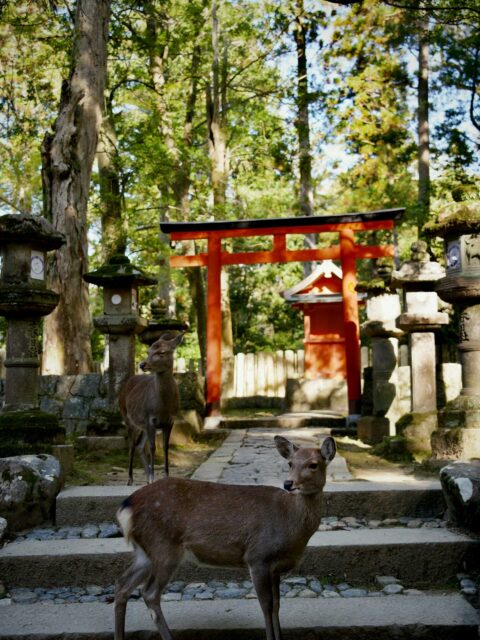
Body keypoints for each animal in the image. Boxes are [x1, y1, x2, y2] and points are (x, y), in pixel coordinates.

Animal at [114, 434, 336, 640]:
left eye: (313, 464)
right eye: (290, 463)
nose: (289, 483)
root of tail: (125, 508)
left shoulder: (275, 568)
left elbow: (277, 605)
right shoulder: (258, 556)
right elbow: (266, 605)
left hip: (145, 552)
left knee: (123, 584)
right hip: (164, 547)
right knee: (149, 593)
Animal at [118, 331, 184, 485]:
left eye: (162, 352)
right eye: (148, 351)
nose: (142, 364)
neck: (163, 407)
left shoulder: (170, 420)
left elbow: (165, 447)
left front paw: (164, 477)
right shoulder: (150, 418)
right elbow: (153, 447)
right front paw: (154, 477)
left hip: (143, 426)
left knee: (140, 446)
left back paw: (147, 479)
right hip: (127, 417)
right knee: (131, 445)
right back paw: (130, 479)